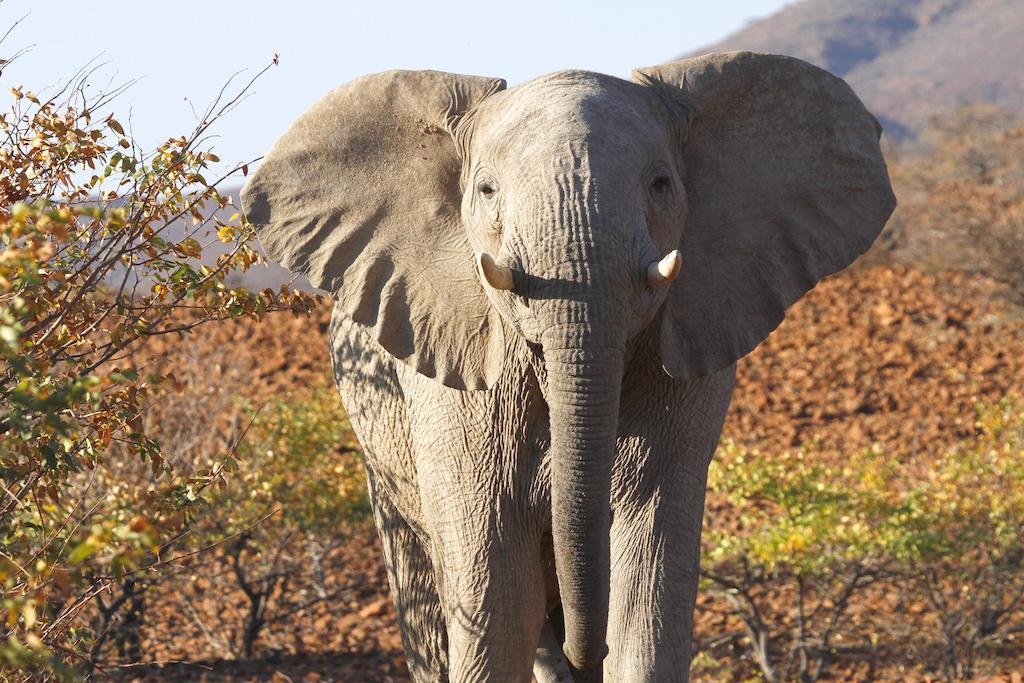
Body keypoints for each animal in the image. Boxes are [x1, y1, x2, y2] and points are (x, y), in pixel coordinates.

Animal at [241, 50, 897, 679]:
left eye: (661, 184)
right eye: (486, 191)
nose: (585, 652)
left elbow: (646, 596)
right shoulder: (459, 386)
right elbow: (498, 600)